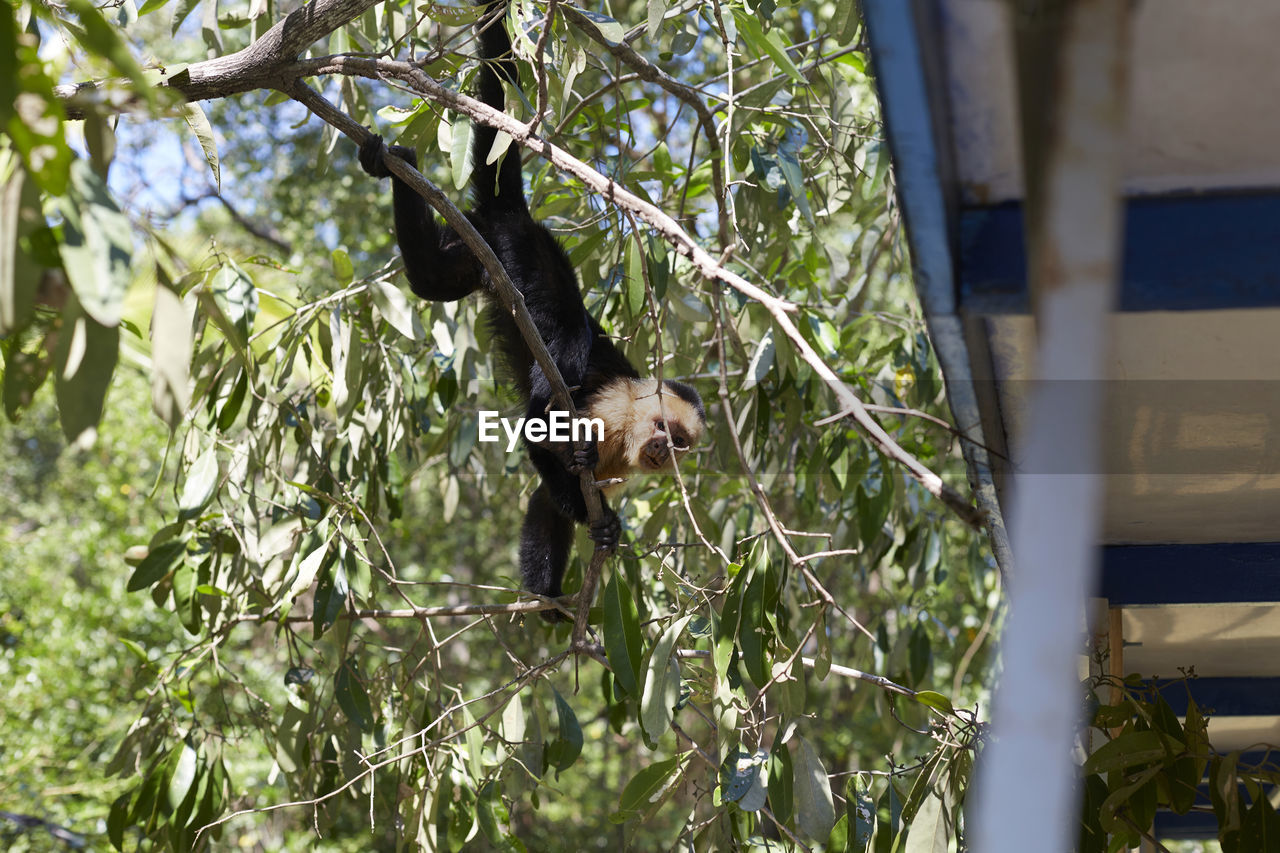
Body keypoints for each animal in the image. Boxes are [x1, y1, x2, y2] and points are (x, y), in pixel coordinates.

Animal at [355, 0, 706, 604]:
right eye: (664, 430)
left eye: (681, 442)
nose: (665, 451)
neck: (629, 433)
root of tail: (517, 218)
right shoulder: (611, 409)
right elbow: (538, 434)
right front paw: (599, 521)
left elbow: (547, 503)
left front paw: (549, 598)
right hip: (519, 252)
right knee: (563, 339)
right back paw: (395, 163)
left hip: (476, 248)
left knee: (432, 281)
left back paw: (395, 166)